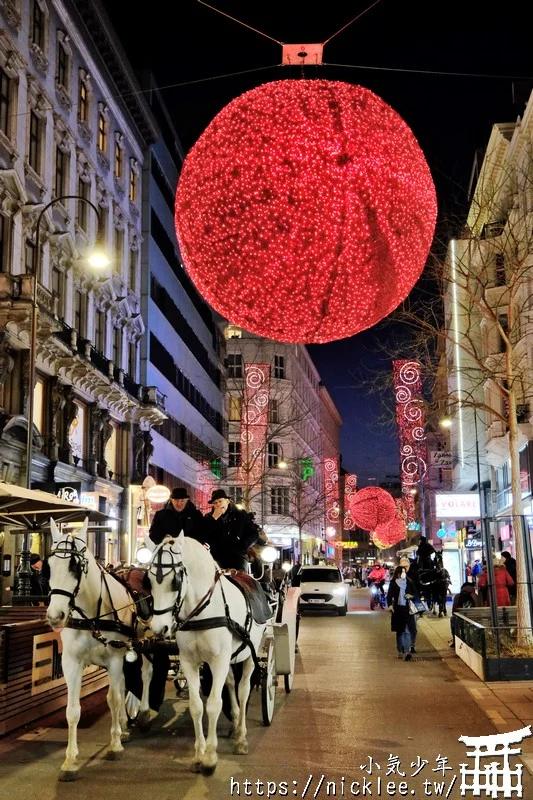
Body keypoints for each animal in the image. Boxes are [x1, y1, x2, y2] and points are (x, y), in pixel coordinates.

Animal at [46, 520, 155, 780]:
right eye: (49, 565)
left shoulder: (114, 658)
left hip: (145, 642)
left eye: (76, 565)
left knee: (146, 673)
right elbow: (73, 710)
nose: (55, 616)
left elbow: (113, 699)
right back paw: (125, 724)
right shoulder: (71, 662)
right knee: (125, 682)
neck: (91, 616)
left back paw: (144, 713)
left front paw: (114, 745)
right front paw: (70, 760)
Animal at [145, 532, 268, 776]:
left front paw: (210, 757)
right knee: (231, 683)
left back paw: (241, 737)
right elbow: (196, 706)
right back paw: (235, 722)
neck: (201, 611)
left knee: (243, 690)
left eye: (175, 581)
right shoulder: (189, 662)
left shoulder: (218, 661)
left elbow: (213, 705)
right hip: (230, 657)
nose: (159, 628)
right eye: (150, 580)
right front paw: (198, 755)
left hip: (251, 653)